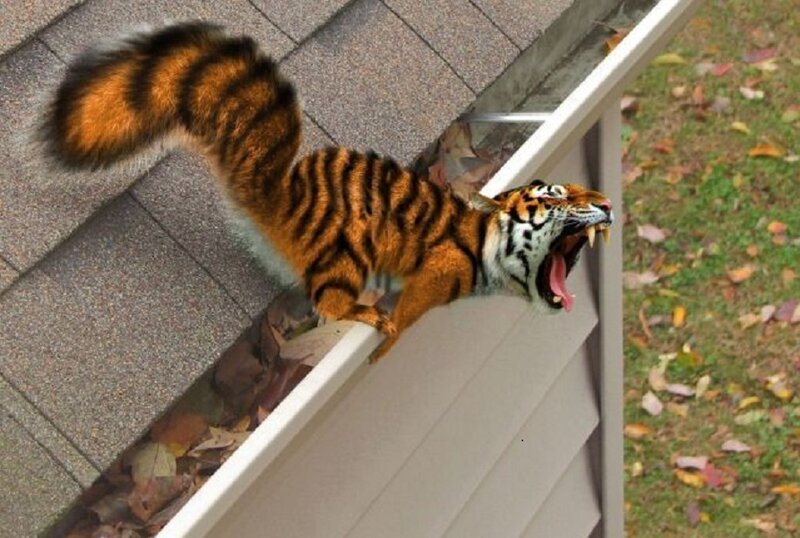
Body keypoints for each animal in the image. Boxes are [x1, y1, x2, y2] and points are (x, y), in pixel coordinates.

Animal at [37, 22, 614, 362]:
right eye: (555, 199)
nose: (607, 208)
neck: (482, 245)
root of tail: (277, 203)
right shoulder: (436, 271)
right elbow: (411, 307)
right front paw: (391, 334)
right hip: (344, 251)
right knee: (330, 301)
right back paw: (363, 311)